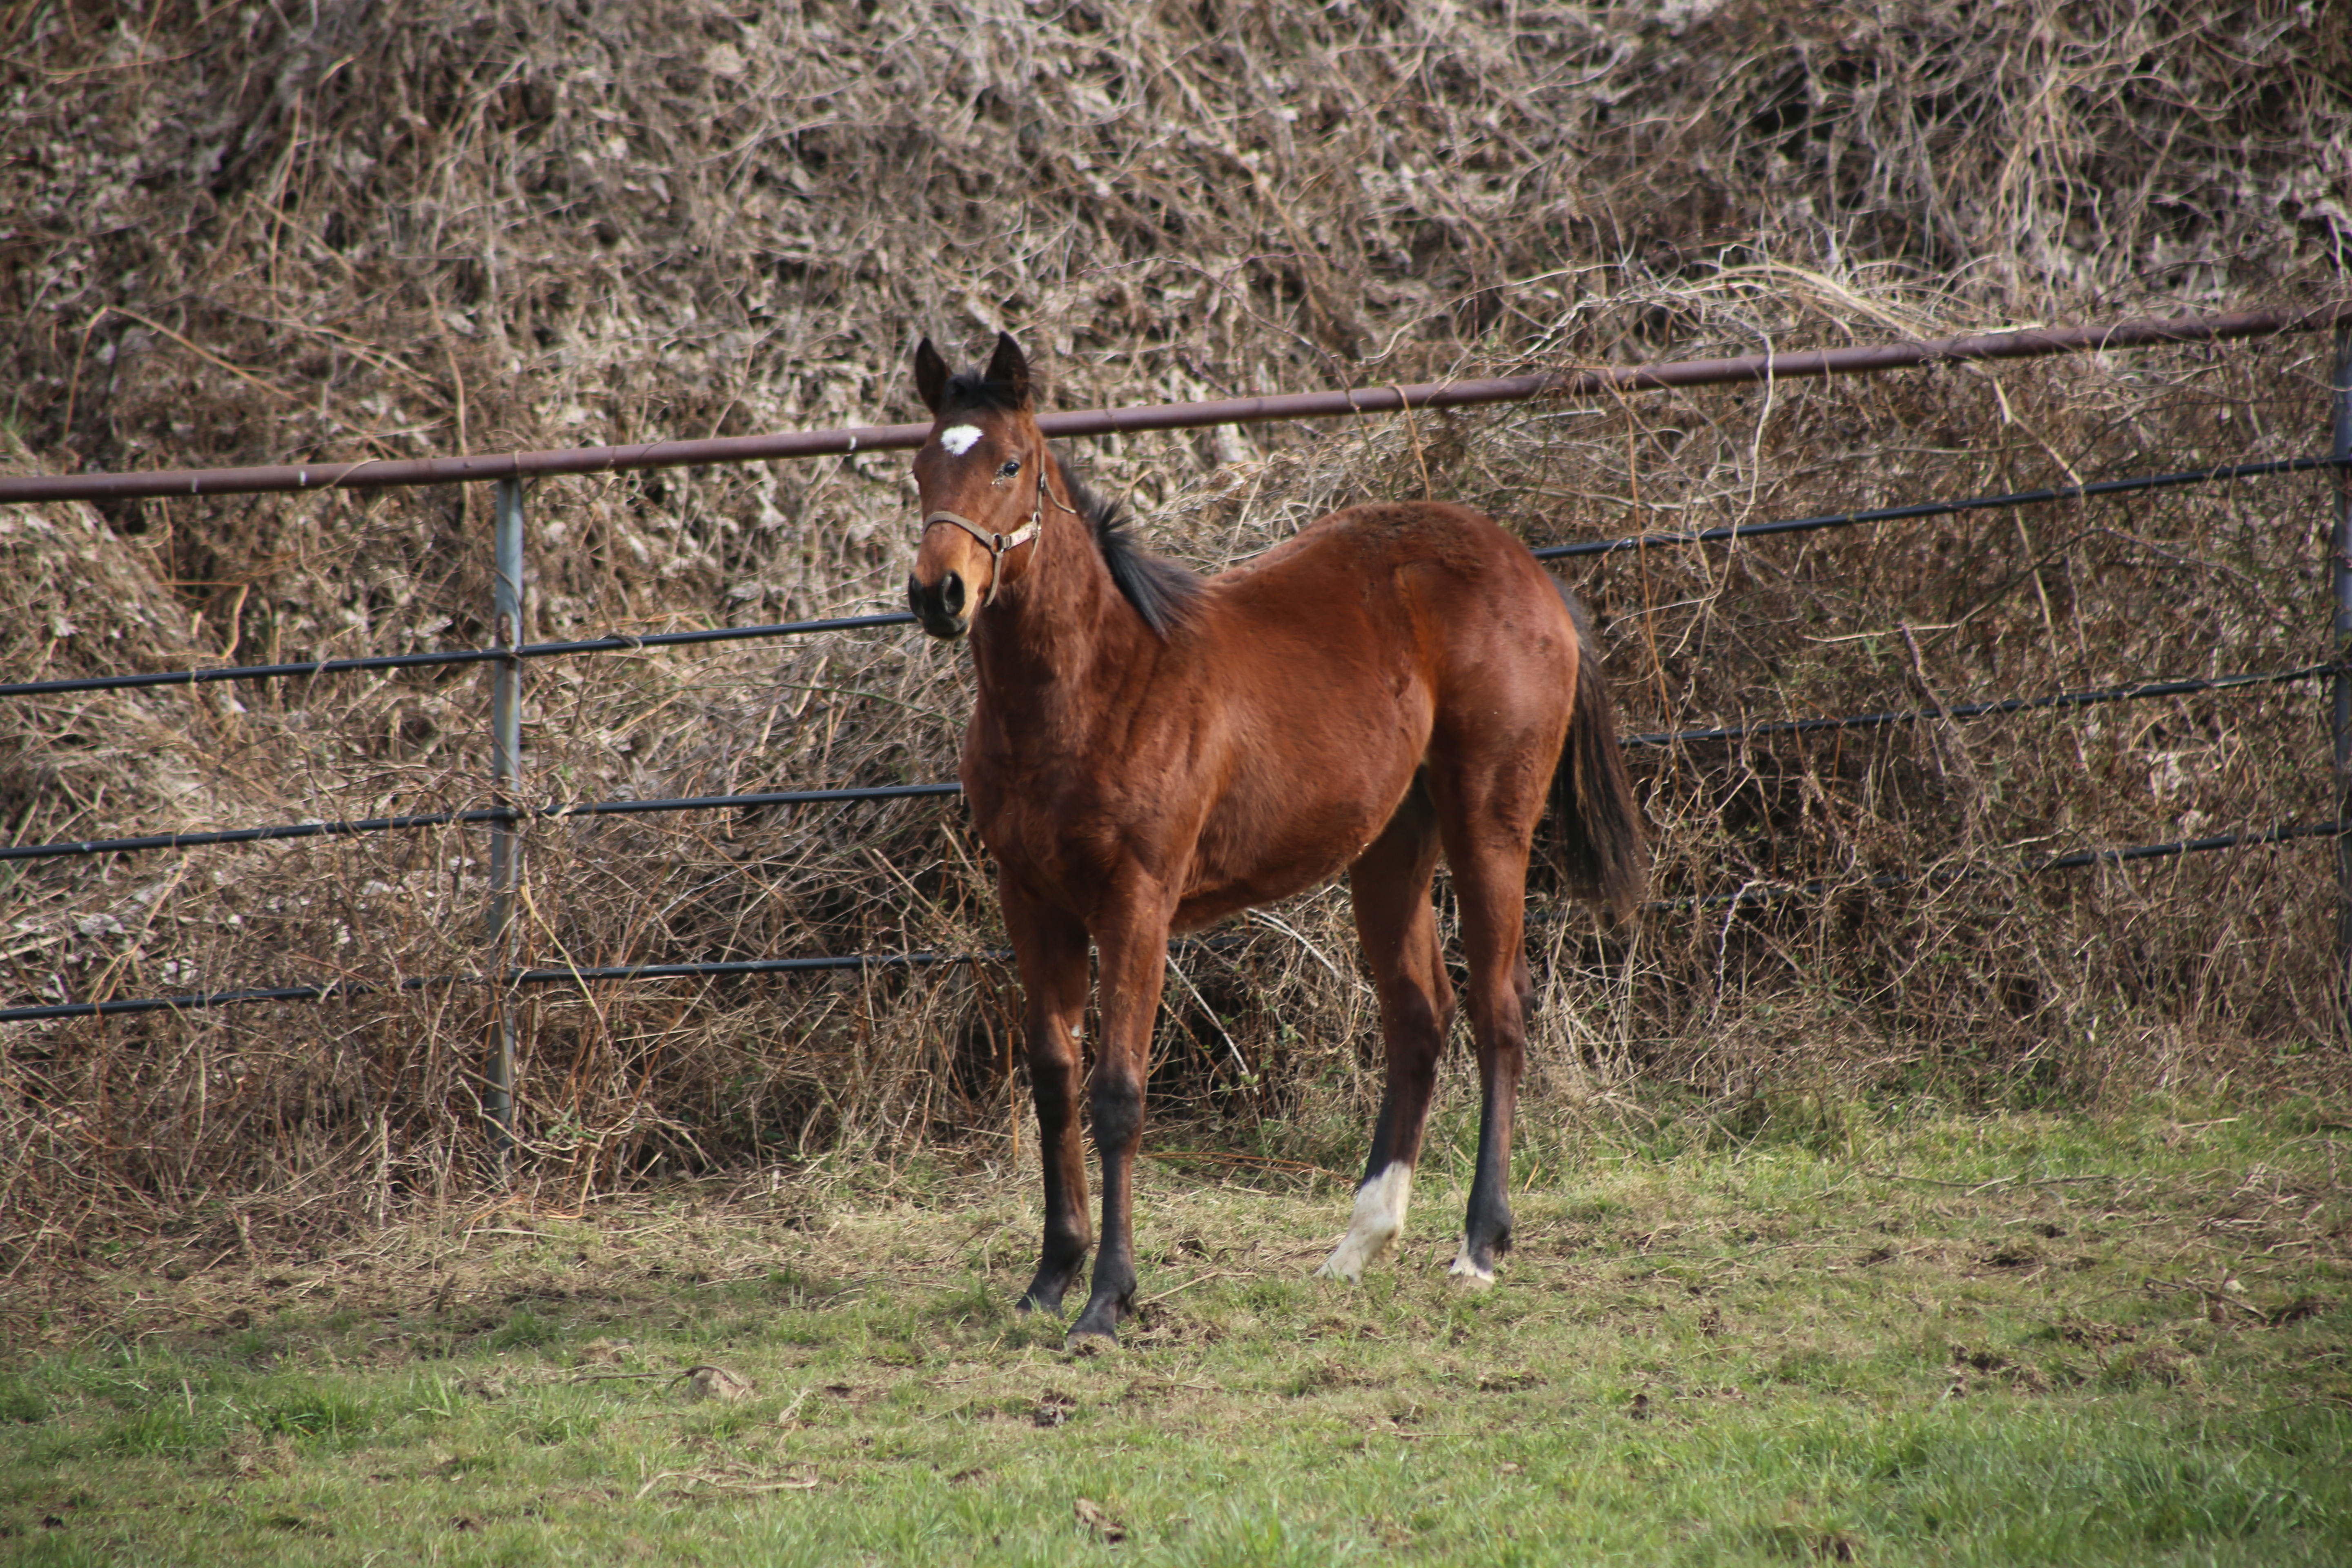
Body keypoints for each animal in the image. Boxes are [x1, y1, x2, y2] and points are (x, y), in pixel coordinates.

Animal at [908, 334, 1646, 1354]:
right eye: (919, 467)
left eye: (1010, 465)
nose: (938, 594)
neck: (1093, 689)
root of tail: (1529, 569)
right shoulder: (1032, 899)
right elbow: (1055, 1081)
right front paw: (1049, 1281)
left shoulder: (1137, 901)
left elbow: (1118, 1092)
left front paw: (1107, 1302)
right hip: (1391, 847)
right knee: (1419, 1016)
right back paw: (1359, 1245)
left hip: (1489, 821)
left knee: (1499, 1008)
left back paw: (1479, 1248)